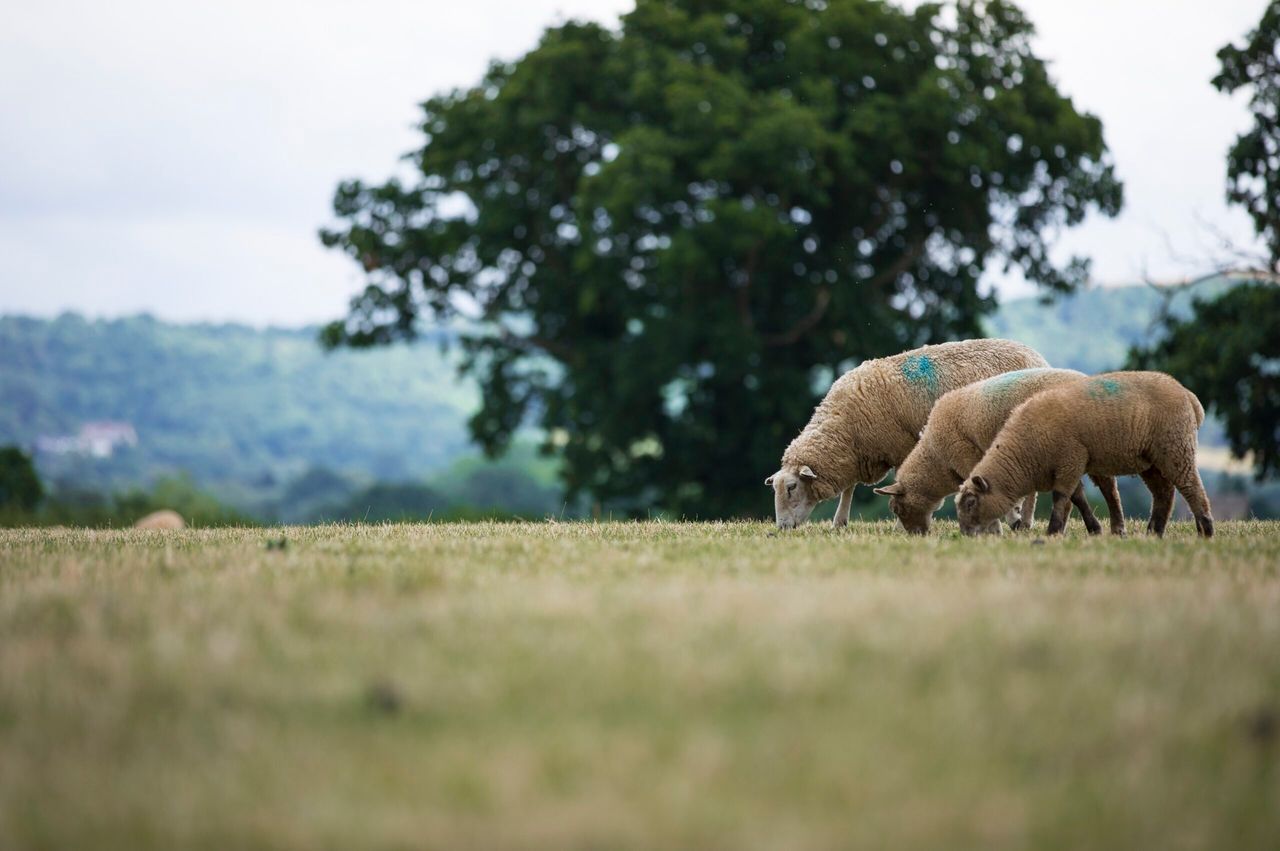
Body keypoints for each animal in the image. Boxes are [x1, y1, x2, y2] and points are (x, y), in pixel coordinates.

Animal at [767, 338, 1049, 528]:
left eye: (791, 487)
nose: (781, 528)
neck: (844, 426)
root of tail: (1038, 357)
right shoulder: (859, 453)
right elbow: (850, 487)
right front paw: (840, 522)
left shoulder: (899, 446)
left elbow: (898, 484)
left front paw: (900, 524)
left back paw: (1022, 520)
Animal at [875, 368, 1124, 535]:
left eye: (897, 509)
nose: (916, 536)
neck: (937, 457)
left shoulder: (968, 459)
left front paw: (994, 530)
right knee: (1095, 489)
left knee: (1105, 489)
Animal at [956, 371, 1213, 538]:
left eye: (971, 502)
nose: (966, 535)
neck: (1024, 450)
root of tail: (1188, 395)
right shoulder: (1071, 465)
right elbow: (1077, 497)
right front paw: (1094, 529)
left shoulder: (1070, 459)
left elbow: (1061, 497)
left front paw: (1052, 531)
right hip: (1150, 460)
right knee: (1164, 493)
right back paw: (1154, 532)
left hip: (1175, 446)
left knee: (1190, 486)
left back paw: (1206, 530)